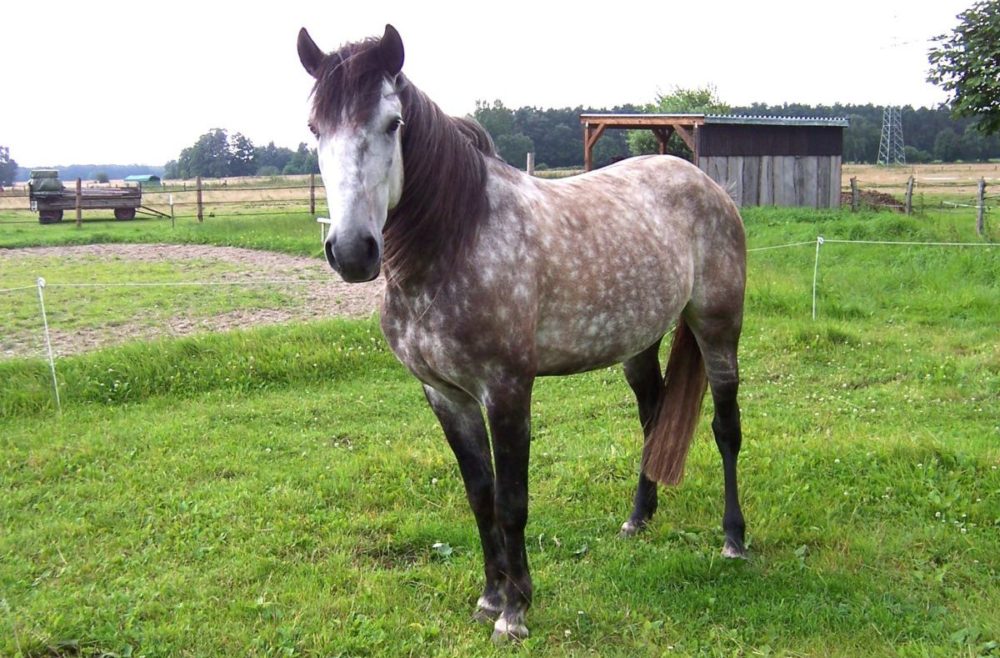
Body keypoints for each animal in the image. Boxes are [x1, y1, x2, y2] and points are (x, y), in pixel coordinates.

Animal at [297, 24, 748, 642]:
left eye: (392, 123)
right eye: (315, 129)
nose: (350, 251)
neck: (456, 238)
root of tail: (705, 183)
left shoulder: (507, 390)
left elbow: (512, 501)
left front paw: (515, 611)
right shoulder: (446, 395)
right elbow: (480, 495)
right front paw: (490, 597)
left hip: (718, 327)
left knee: (727, 427)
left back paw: (734, 540)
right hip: (637, 344)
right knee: (653, 418)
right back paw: (637, 519)